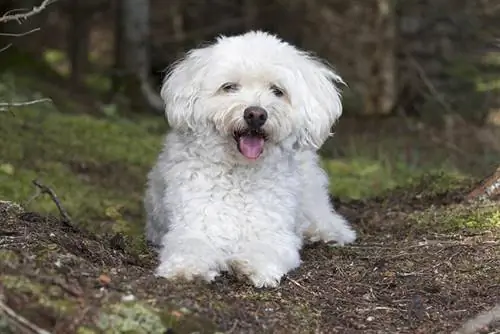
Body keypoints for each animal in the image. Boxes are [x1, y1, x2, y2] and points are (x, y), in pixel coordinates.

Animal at [143, 30, 358, 288]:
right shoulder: (193, 225)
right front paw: (186, 268)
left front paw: (251, 265)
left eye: (277, 91)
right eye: (229, 87)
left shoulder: (274, 233)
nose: (256, 114)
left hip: (312, 199)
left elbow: (266, 248)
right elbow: (191, 246)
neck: (240, 173)